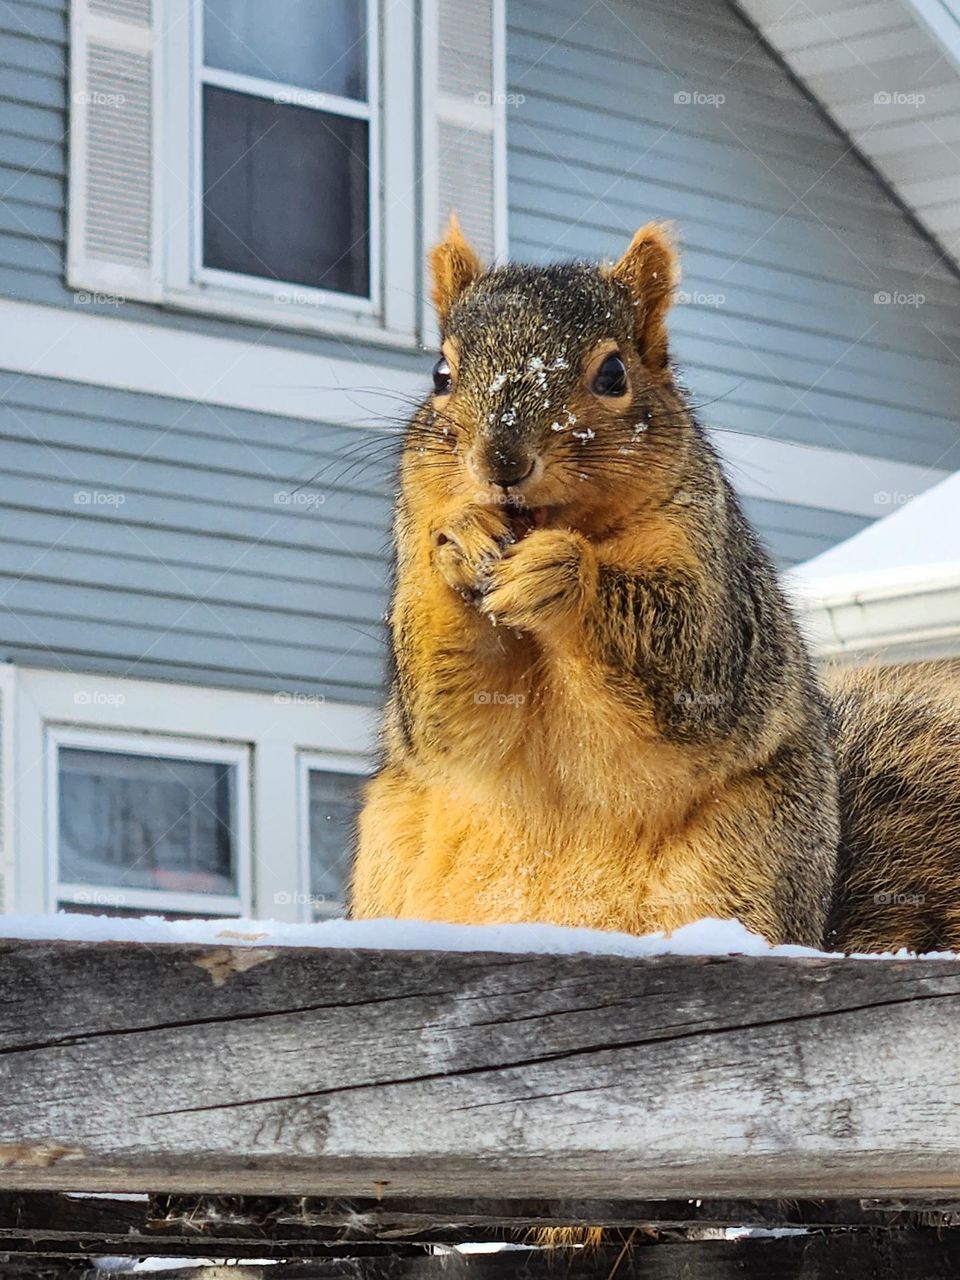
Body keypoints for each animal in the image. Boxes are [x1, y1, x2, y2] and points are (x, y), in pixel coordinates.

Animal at [350, 215, 960, 955]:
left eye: (614, 373)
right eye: (441, 373)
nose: (501, 463)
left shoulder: (714, 588)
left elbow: (685, 659)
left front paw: (563, 572)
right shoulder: (420, 544)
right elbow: (445, 715)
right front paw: (467, 542)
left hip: (742, 855)